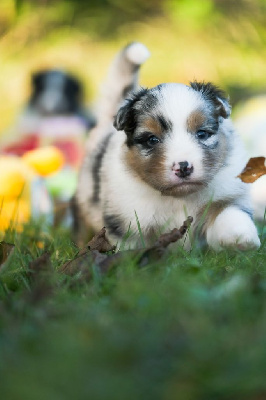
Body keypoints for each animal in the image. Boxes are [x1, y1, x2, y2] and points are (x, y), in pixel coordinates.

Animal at [72, 43, 260, 250]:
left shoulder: (227, 192)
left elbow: (230, 213)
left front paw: (240, 238)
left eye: (202, 134)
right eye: (152, 139)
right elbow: (130, 248)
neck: (178, 198)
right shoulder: (128, 218)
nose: (184, 167)